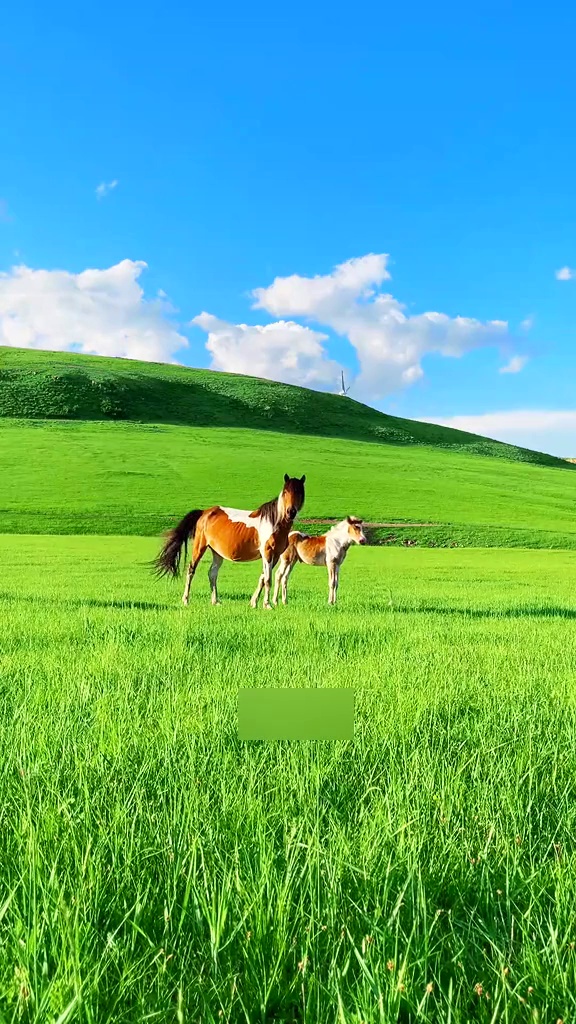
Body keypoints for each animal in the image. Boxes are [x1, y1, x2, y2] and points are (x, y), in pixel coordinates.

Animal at [152, 474, 306, 609]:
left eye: (300, 492)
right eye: (285, 491)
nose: (291, 512)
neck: (273, 522)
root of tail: (204, 513)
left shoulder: (274, 556)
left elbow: (262, 578)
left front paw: (253, 603)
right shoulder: (267, 553)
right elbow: (268, 580)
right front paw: (267, 605)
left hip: (217, 552)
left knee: (212, 573)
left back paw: (215, 601)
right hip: (200, 546)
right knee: (191, 570)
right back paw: (185, 600)